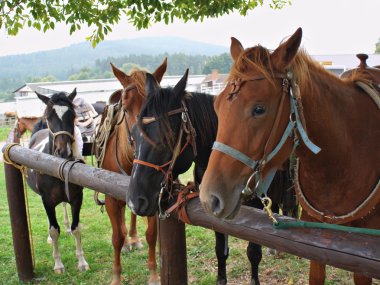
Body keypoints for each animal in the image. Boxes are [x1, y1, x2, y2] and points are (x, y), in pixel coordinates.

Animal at [26, 89, 89, 272]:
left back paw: (66, 227)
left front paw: (82, 262)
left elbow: (76, 228)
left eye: (73, 115)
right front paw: (58, 265)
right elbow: (54, 230)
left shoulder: (76, 198)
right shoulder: (47, 200)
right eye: (49, 116)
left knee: (63, 207)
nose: (63, 151)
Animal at [93, 58, 166, 284]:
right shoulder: (110, 199)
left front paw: (154, 274)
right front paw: (116, 276)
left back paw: (133, 238)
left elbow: (152, 235)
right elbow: (116, 237)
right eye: (125, 107)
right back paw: (127, 242)